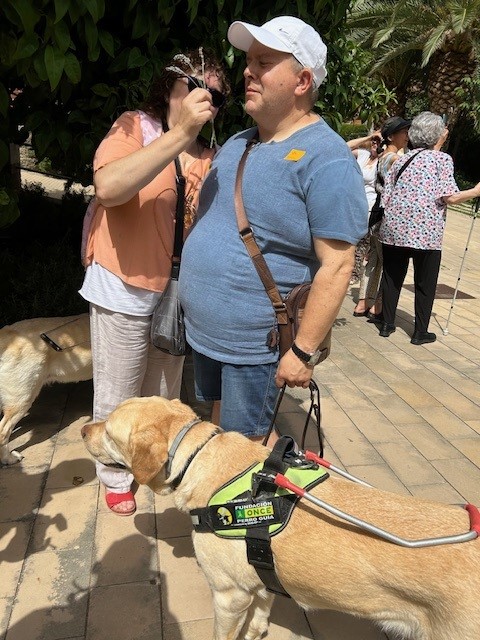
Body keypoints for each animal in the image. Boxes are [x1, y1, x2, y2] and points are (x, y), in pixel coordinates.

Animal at [81, 396, 480, 640]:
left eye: (110, 430)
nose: (83, 429)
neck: (200, 456)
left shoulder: (229, 595)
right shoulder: (260, 581)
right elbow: (259, 618)